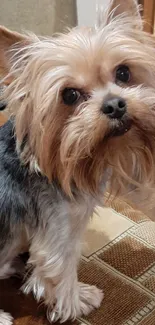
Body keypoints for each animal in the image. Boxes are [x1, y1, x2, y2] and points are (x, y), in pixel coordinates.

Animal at [1, 0, 155, 322]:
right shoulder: (59, 228)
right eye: (69, 95)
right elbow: (61, 269)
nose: (115, 105)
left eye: (124, 73)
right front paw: (79, 300)